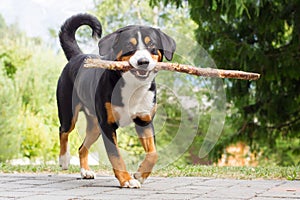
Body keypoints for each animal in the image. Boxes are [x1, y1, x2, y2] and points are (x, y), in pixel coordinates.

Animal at [56, 13, 176, 188]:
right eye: (129, 46)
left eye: (152, 45)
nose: (143, 62)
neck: (132, 88)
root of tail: (78, 56)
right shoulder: (108, 125)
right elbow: (116, 155)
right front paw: (127, 180)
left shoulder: (144, 120)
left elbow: (153, 153)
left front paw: (140, 174)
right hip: (69, 114)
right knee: (63, 131)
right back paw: (64, 159)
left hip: (95, 126)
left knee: (82, 147)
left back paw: (85, 171)